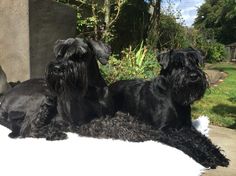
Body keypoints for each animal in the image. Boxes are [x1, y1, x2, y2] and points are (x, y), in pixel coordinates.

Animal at [77, 47, 229, 168]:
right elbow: (186, 142)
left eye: (195, 61)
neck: (173, 96)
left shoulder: (187, 127)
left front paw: (217, 155)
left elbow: (203, 139)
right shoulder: (164, 130)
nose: (194, 75)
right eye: (177, 64)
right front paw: (204, 157)